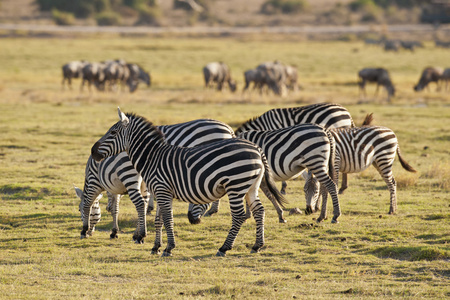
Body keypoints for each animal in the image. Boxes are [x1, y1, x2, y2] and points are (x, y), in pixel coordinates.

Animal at [188, 123, 340, 224]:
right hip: (320, 163)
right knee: (324, 187)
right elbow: (265, 195)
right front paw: (279, 215)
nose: (191, 220)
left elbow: (259, 195)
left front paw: (245, 215)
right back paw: (322, 216)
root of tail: (324, 130)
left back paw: (334, 216)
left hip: (315, 161)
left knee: (330, 185)